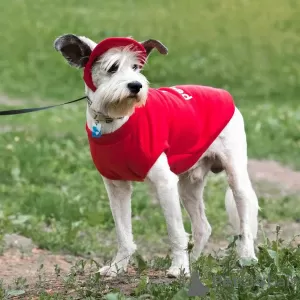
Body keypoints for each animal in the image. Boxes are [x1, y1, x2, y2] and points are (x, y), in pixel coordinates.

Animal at [54, 34, 260, 278]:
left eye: (136, 67)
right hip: (188, 187)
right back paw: (195, 261)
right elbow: (123, 233)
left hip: (235, 177)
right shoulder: (116, 187)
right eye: (113, 67)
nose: (136, 85)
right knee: (203, 227)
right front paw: (117, 267)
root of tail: (223, 94)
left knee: (244, 223)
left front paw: (179, 268)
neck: (114, 120)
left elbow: (176, 232)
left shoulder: (165, 183)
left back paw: (246, 257)